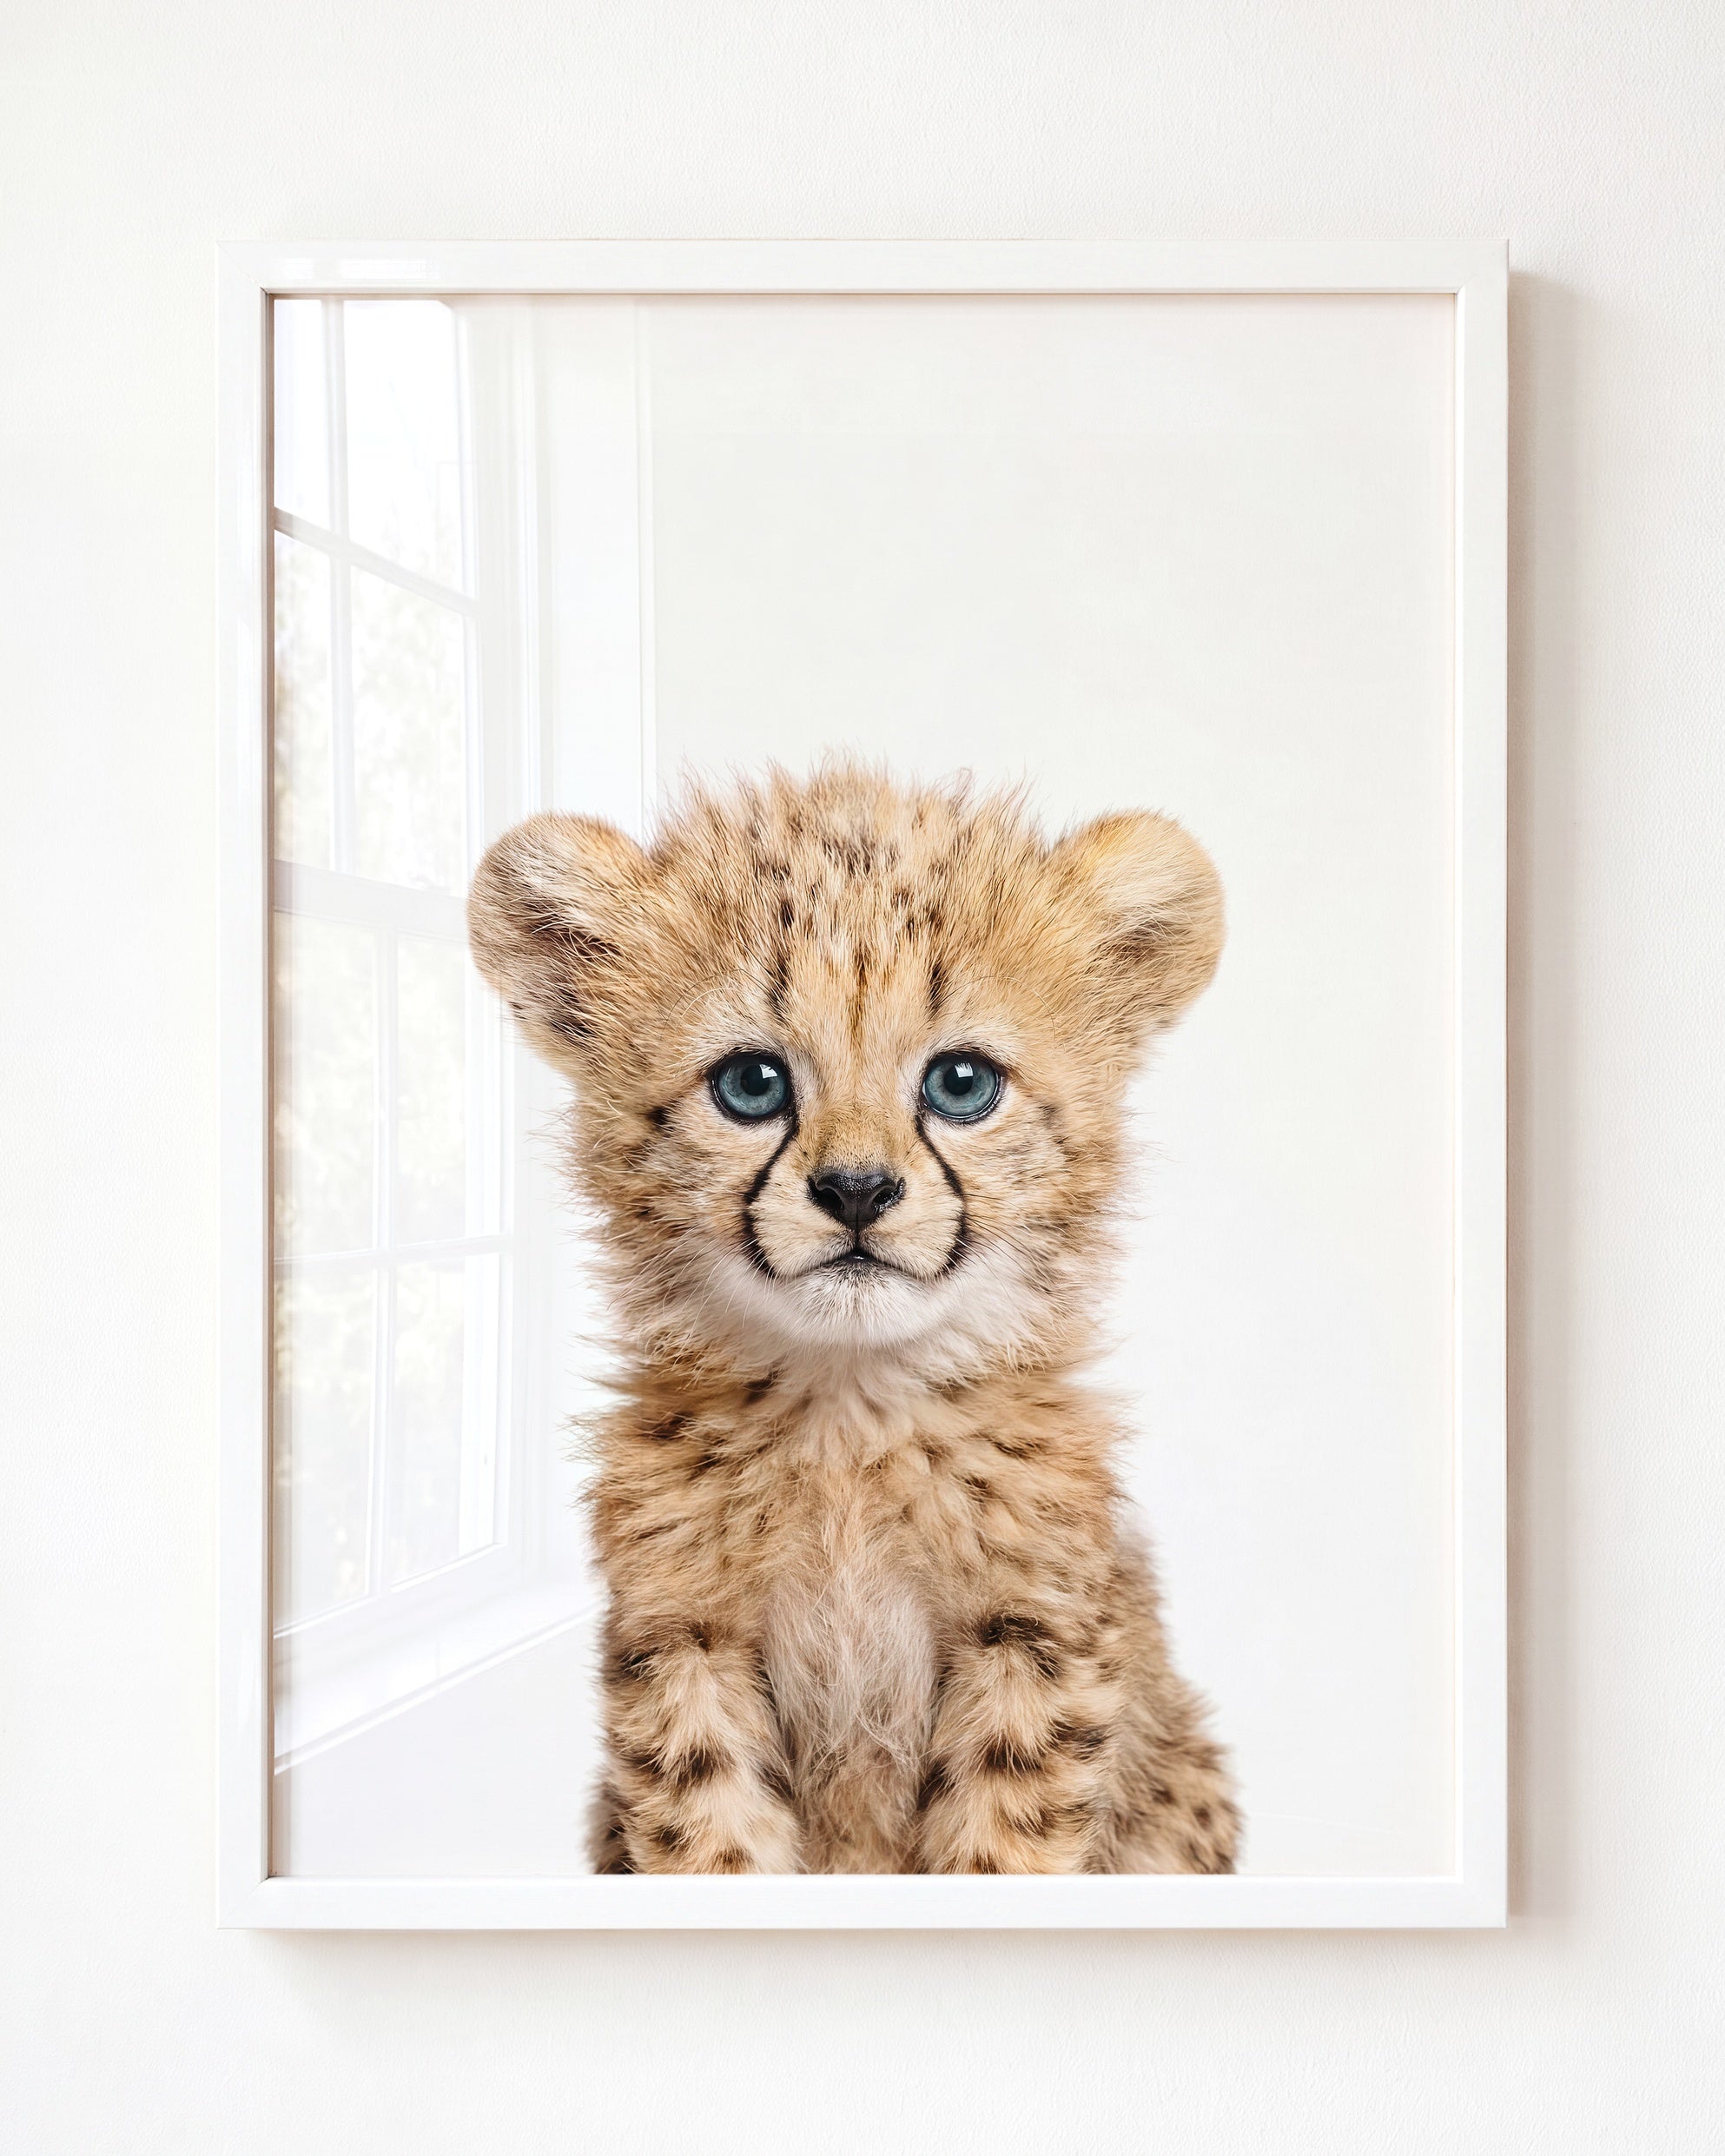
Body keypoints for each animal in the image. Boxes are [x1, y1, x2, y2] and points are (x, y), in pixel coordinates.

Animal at [468, 762, 1240, 1874]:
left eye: (961, 1083)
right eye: (752, 1083)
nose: (858, 1190)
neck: (850, 1410)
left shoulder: (1033, 1637)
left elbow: (1001, 1846)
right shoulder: (685, 1637)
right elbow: (712, 1838)